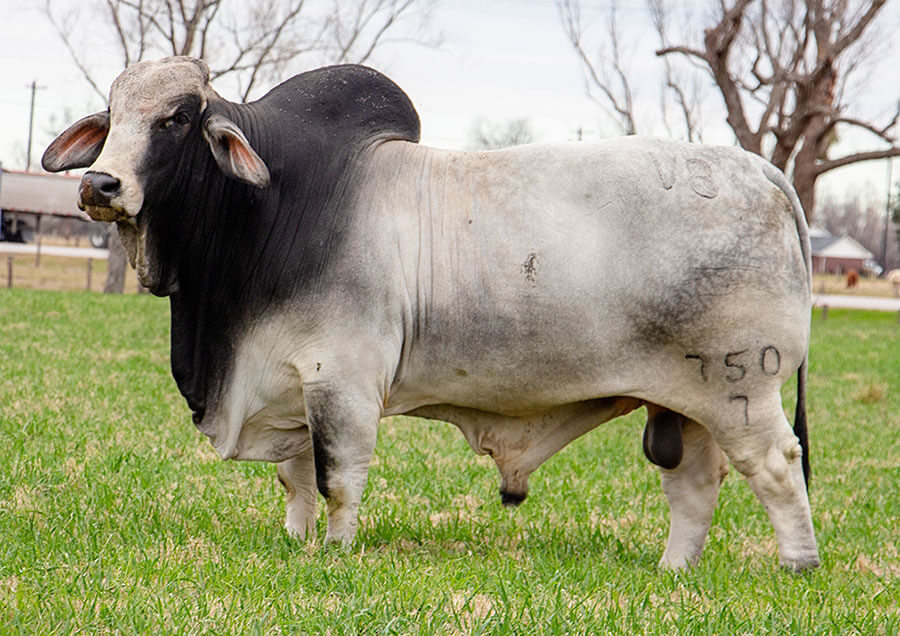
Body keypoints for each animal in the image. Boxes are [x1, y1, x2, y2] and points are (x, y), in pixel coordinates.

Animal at [42, 56, 819, 571]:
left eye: (176, 119)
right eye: (111, 116)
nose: (99, 184)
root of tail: (759, 169)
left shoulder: (342, 380)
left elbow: (337, 477)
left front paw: (336, 554)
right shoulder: (286, 383)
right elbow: (295, 479)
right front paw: (295, 542)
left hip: (742, 386)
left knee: (777, 467)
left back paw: (797, 565)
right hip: (684, 402)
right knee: (694, 485)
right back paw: (672, 572)